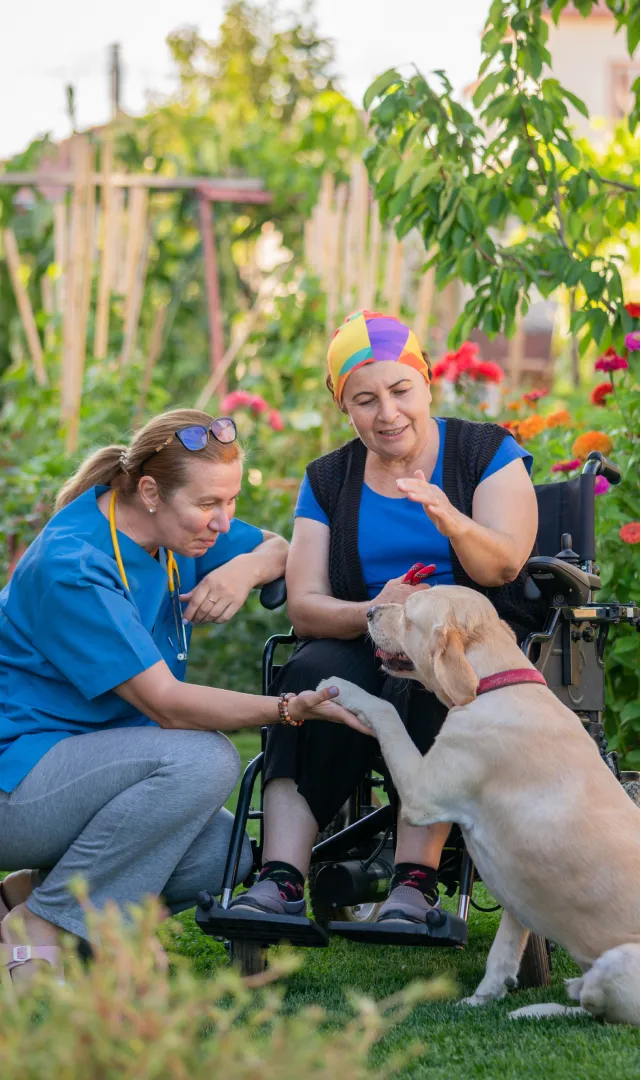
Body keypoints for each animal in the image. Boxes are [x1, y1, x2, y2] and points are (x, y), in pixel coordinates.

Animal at [317, 587, 634, 1023]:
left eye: (409, 615)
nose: (369, 610)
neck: (493, 685)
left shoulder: (422, 793)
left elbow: (386, 711)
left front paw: (343, 688)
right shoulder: (518, 889)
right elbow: (502, 954)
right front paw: (481, 998)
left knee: (599, 1012)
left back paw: (545, 1005)